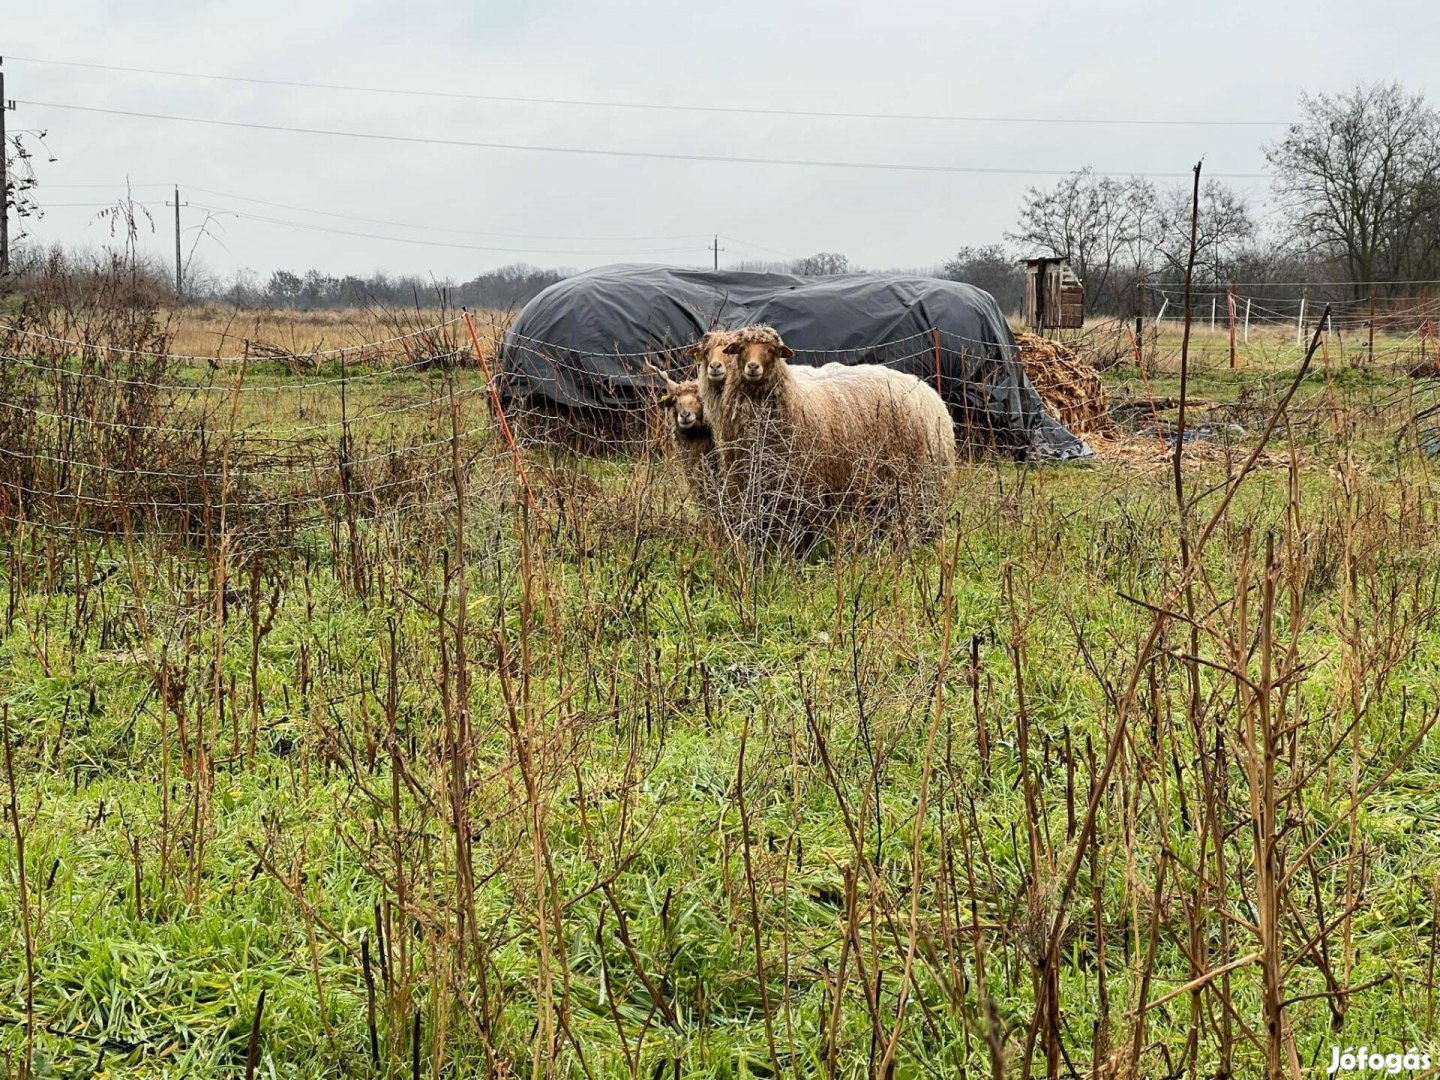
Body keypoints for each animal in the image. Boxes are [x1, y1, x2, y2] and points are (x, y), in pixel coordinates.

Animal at [720, 324, 956, 550]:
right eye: (740, 348)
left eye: (772, 350)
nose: (753, 367)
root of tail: (929, 394)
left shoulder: (803, 489)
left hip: (911, 482)